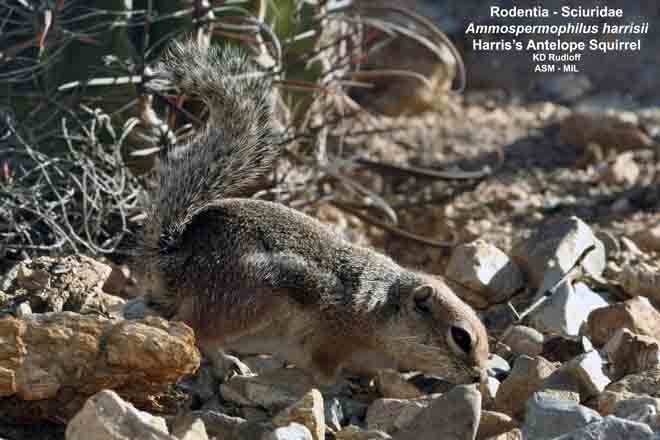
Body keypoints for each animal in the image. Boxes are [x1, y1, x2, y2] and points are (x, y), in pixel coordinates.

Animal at [137, 39, 490, 385]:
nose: (479, 377)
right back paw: (227, 363)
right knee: (196, 328)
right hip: (246, 302)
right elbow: (324, 368)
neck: (382, 309)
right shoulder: (331, 340)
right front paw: (341, 385)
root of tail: (174, 255)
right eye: (461, 337)